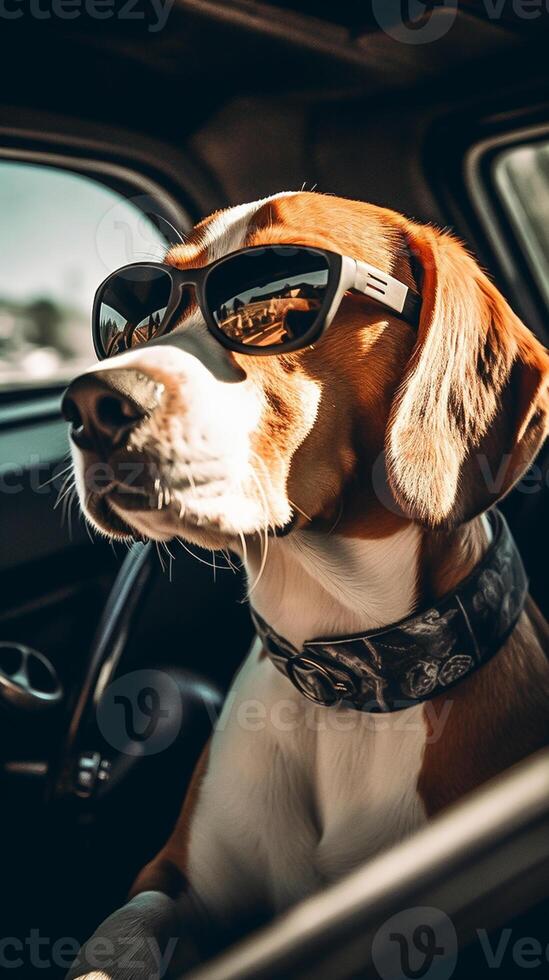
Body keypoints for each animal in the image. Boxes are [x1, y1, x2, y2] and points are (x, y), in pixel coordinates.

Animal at [62, 193, 544, 980]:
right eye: (141, 316)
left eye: (287, 302)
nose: (90, 404)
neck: (341, 683)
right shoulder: (169, 875)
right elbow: (119, 933)